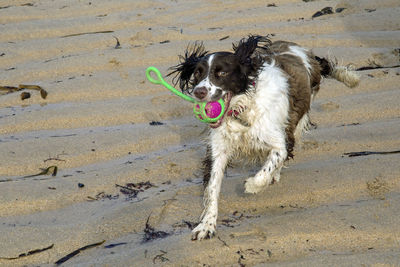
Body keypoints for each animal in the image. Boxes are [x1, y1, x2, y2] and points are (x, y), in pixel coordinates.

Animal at [168, 34, 360, 242]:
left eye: (222, 73)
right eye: (197, 74)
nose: (199, 92)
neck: (242, 112)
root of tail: (302, 50)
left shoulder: (279, 141)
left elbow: (273, 162)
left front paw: (252, 185)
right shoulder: (218, 150)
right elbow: (212, 188)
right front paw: (206, 225)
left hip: (297, 121)